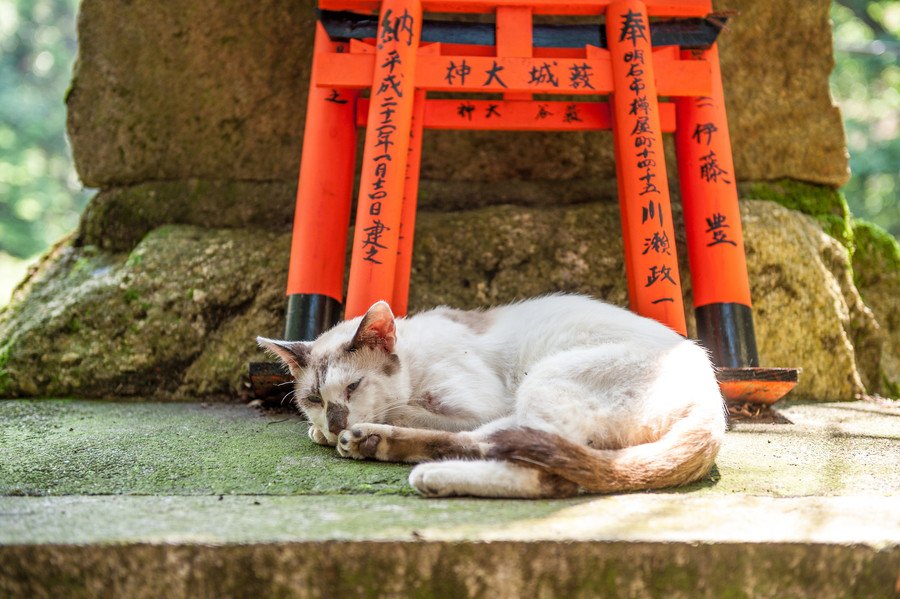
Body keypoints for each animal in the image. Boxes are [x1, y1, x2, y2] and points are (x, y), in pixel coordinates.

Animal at [256, 294, 728, 496]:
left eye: (352, 388)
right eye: (314, 399)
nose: (336, 420)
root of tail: (714, 401)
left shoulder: (476, 406)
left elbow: (406, 409)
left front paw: (344, 430)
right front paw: (324, 432)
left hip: (540, 382)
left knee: (543, 473)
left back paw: (419, 468)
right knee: (502, 444)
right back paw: (375, 444)